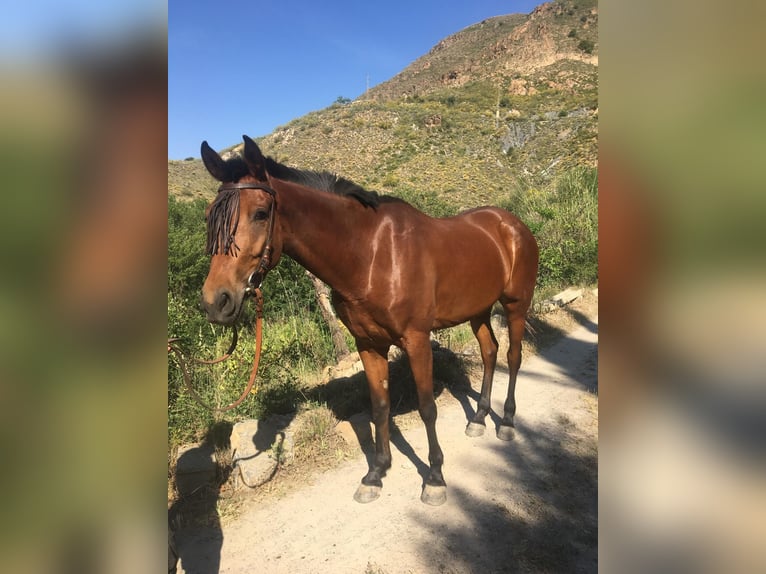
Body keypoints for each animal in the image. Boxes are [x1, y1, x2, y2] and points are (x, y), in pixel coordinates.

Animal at [199, 135, 539, 506]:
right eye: (210, 216)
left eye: (260, 213)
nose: (216, 301)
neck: (371, 255)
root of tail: (511, 224)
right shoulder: (368, 344)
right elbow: (379, 407)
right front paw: (376, 473)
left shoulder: (416, 340)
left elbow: (427, 407)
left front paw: (435, 478)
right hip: (477, 310)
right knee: (490, 352)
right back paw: (478, 418)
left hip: (515, 304)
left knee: (513, 356)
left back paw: (506, 423)